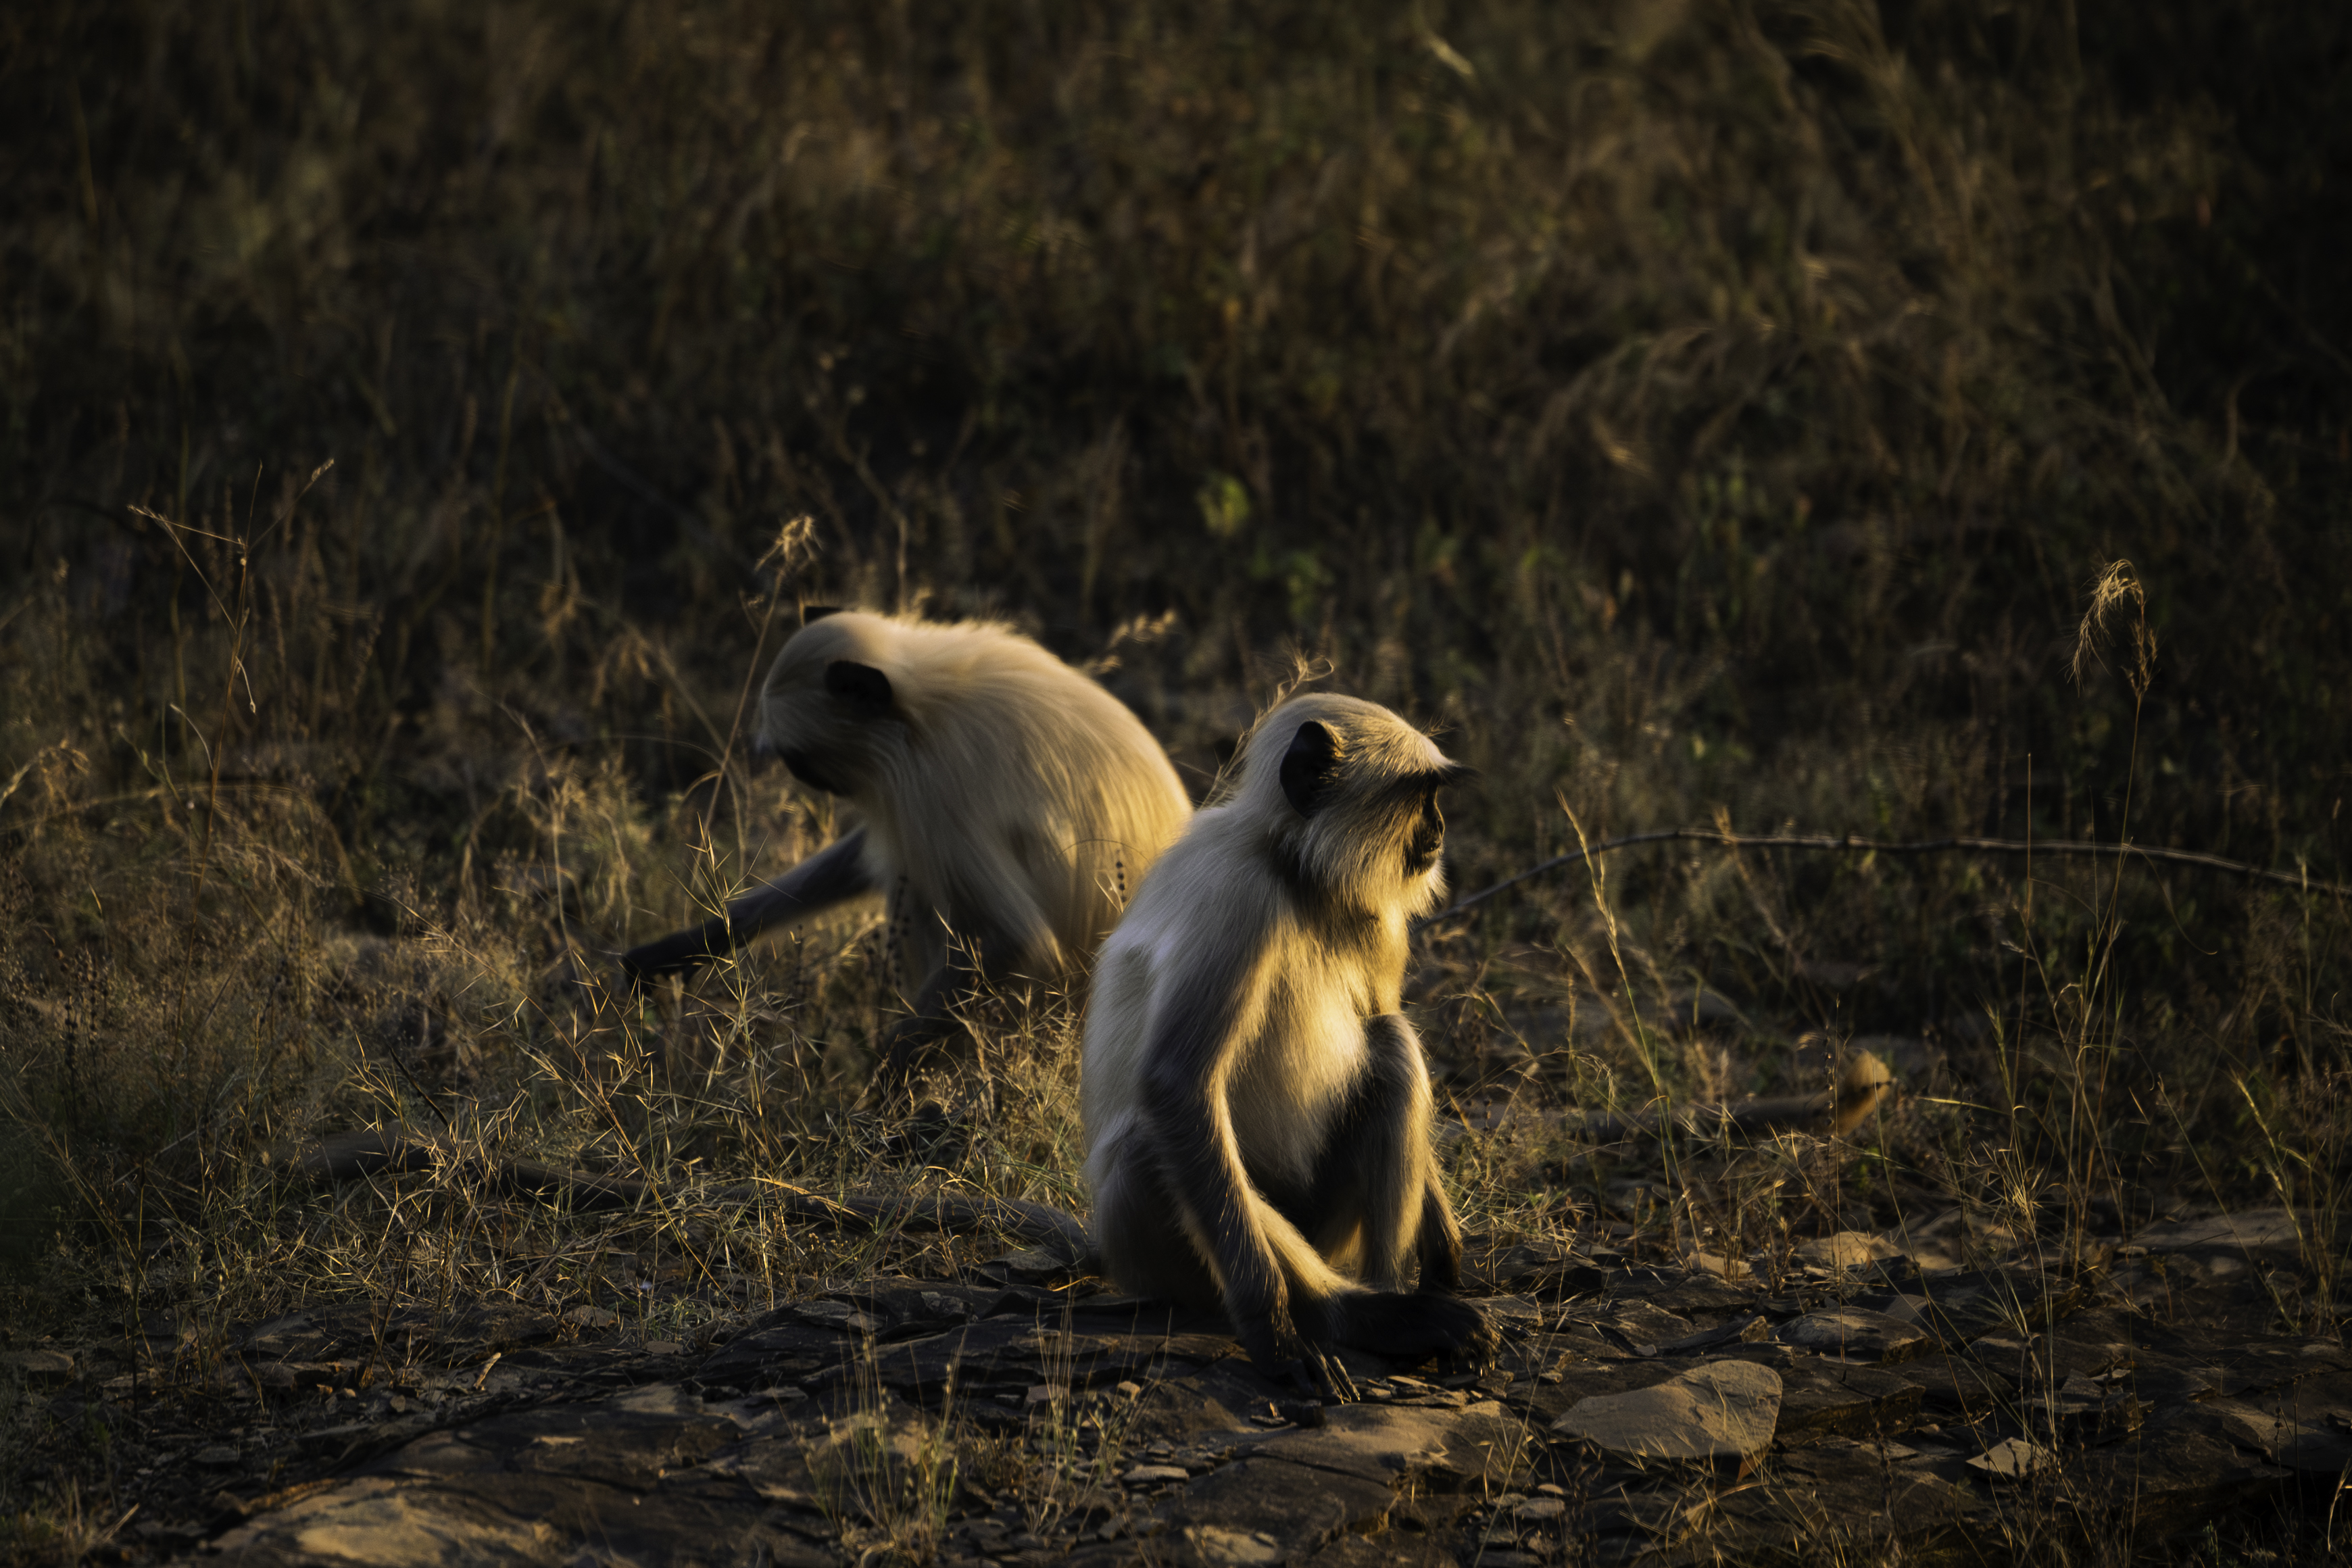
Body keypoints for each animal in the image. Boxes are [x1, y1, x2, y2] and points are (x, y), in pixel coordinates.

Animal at [621, 608, 1193, 1091]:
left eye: (800, 764)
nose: (815, 784)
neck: (924, 699)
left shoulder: (933, 784)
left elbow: (1016, 940)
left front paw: (882, 1085)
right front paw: (691, 943)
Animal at [1078, 692, 1493, 1398]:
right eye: (1422, 797)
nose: (1440, 832)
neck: (1293, 867)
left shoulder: (1378, 919)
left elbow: (1382, 1013)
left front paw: (1443, 1241)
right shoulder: (1237, 895)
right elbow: (1177, 1086)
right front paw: (1272, 1332)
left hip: (1331, 1229)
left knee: (1391, 1046)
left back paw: (1390, 1298)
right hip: (1152, 1257)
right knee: (1149, 1148)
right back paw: (1350, 1312)